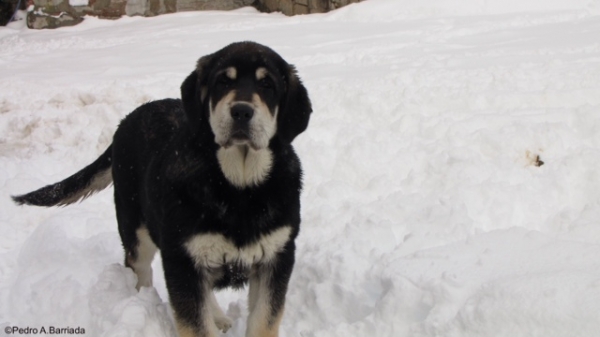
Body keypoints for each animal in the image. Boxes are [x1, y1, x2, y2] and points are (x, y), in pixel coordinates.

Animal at [11, 41, 314, 336]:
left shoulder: (277, 257)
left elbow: (264, 321)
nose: (241, 111)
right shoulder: (181, 257)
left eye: (268, 85)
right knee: (140, 272)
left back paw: (217, 317)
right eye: (222, 82)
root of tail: (126, 120)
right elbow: (196, 325)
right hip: (136, 230)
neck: (238, 187)